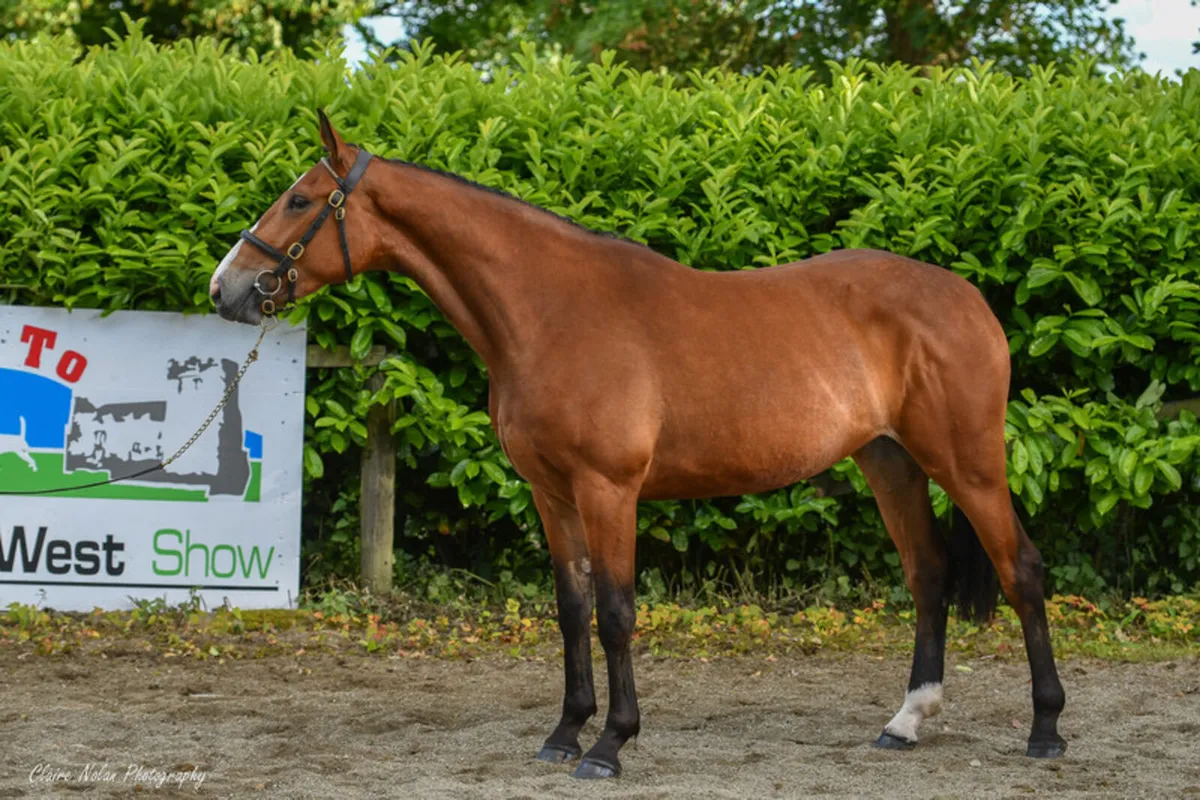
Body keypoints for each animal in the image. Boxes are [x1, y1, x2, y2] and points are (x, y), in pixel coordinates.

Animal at [209, 110, 1067, 779]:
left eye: (299, 199)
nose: (226, 287)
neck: (549, 312)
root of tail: (966, 298)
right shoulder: (551, 493)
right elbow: (571, 608)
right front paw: (563, 733)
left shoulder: (607, 488)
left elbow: (618, 612)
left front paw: (610, 745)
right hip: (891, 463)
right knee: (928, 576)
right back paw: (906, 722)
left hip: (969, 464)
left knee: (1020, 570)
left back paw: (1046, 730)